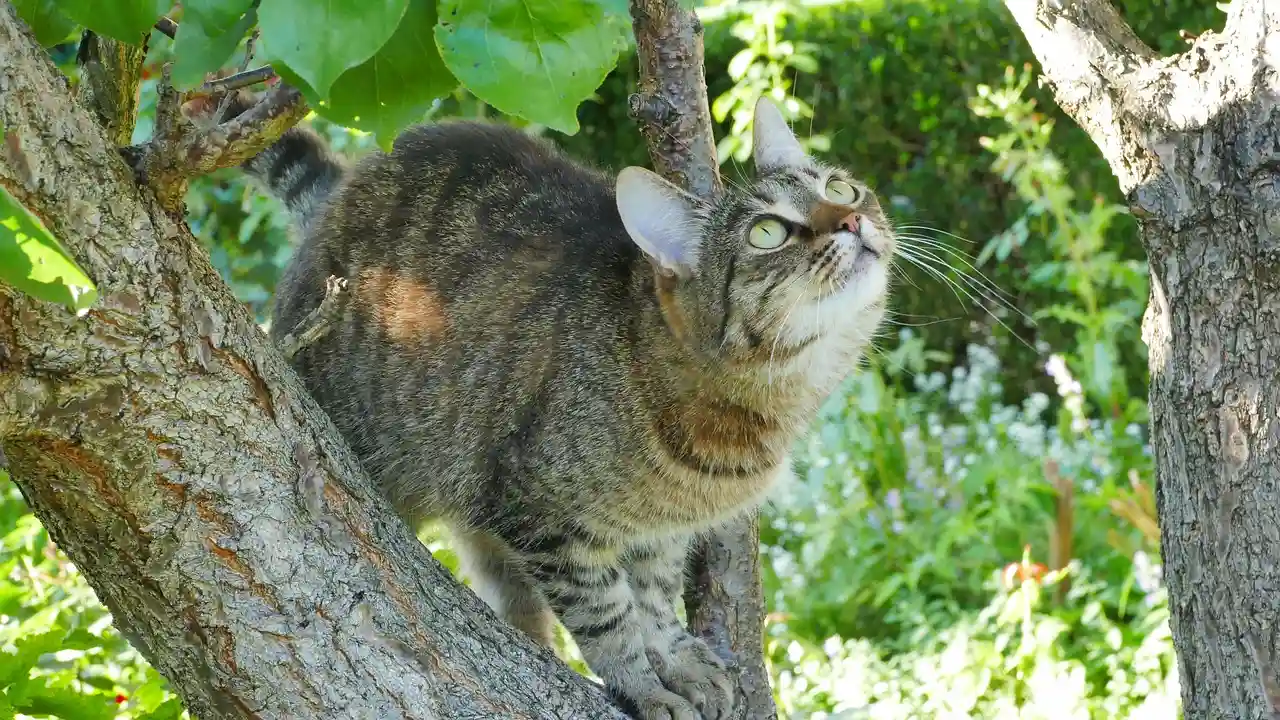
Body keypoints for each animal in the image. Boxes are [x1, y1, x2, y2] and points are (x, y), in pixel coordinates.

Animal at [225, 94, 896, 717]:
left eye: (839, 187)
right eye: (767, 232)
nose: (851, 219)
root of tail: (340, 192)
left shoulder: (658, 532)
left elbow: (654, 597)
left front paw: (674, 656)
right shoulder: (543, 519)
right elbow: (610, 617)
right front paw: (643, 684)